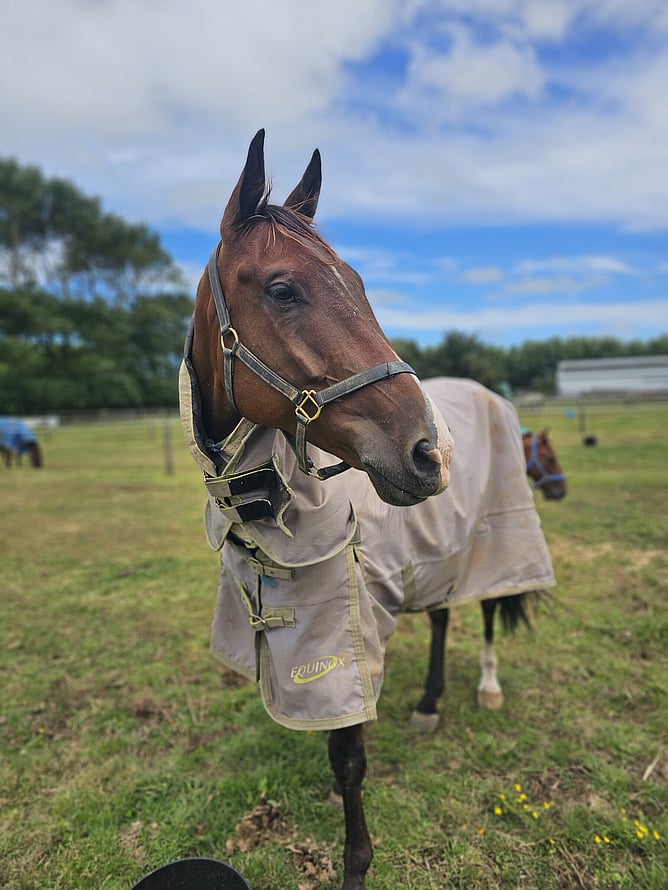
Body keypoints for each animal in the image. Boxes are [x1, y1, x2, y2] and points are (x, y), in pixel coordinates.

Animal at [180, 132, 551, 889]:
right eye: (283, 289)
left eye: (358, 284)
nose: (431, 449)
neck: (268, 520)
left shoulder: (342, 633)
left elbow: (348, 758)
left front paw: (355, 863)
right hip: (434, 552)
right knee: (441, 617)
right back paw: (430, 704)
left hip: (494, 540)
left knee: (488, 611)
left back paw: (487, 687)